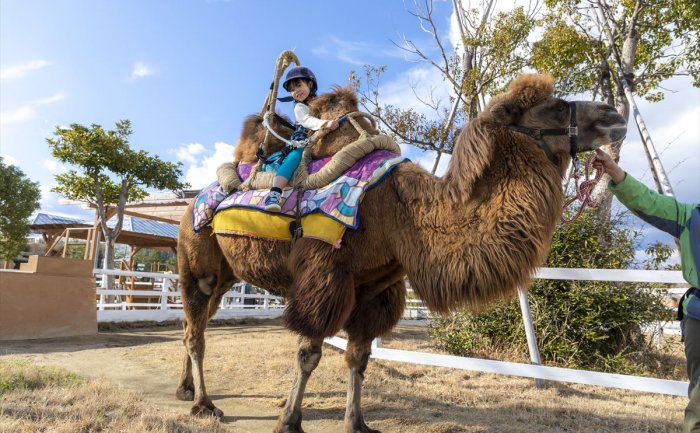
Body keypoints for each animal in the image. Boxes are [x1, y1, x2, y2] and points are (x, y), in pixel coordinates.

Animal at [178, 75, 628, 432]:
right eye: (553, 107)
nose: (614, 114)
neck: (402, 216)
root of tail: (191, 202)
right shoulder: (324, 273)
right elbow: (309, 353)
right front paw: (289, 422)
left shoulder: (376, 290)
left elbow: (359, 357)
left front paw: (357, 423)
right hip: (197, 262)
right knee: (196, 330)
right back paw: (204, 404)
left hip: (227, 274)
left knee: (195, 325)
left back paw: (186, 390)